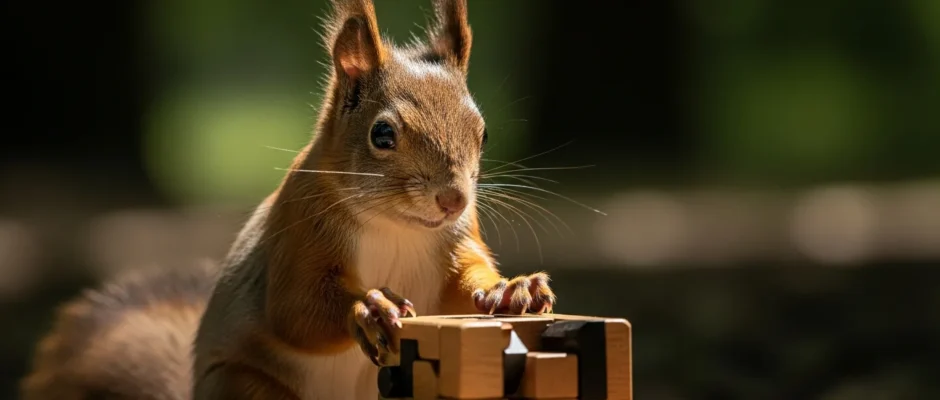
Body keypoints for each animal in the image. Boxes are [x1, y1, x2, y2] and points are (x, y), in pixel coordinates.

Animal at [20, 0, 556, 399]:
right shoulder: (298, 232)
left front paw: (513, 289)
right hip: (246, 387)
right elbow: (296, 310)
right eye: (383, 134)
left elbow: (464, 284)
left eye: (483, 134)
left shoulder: (457, 241)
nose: (453, 200)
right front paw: (369, 308)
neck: (396, 227)